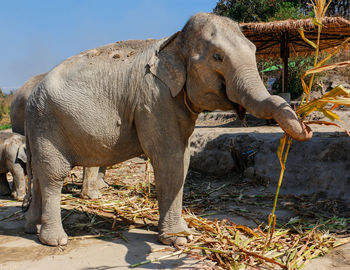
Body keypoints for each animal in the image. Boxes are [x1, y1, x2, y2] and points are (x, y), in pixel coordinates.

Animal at [23, 13, 310, 247]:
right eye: (217, 57)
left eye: (253, 50)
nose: (307, 128)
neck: (174, 39)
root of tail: (32, 94)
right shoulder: (154, 98)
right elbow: (169, 159)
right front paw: (179, 239)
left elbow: (183, 159)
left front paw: (181, 233)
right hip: (47, 123)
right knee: (53, 174)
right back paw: (55, 240)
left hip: (38, 126)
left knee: (38, 172)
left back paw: (31, 229)